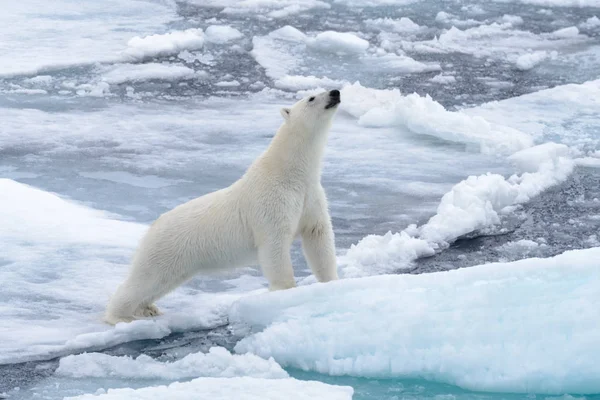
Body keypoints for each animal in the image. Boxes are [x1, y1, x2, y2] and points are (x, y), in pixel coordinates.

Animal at [104, 89, 342, 324]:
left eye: (324, 87)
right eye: (311, 97)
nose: (335, 92)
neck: (289, 173)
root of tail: (153, 226)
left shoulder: (310, 197)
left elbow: (318, 236)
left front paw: (332, 282)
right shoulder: (271, 202)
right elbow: (274, 244)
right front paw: (286, 290)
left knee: (162, 282)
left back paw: (148, 308)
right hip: (166, 249)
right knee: (146, 279)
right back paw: (120, 316)